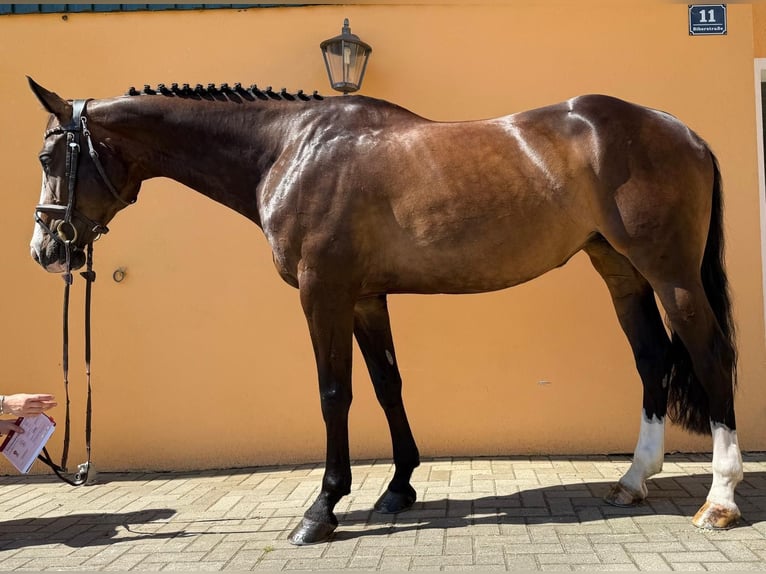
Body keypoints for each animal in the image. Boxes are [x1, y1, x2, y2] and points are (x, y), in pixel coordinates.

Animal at [26, 77, 743, 544]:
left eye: (48, 154)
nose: (46, 250)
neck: (289, 149)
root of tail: (684, 131)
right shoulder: (367, 296)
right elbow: (387, 384)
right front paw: (399, 487)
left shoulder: (323, 291)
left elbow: (334, 392)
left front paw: (322, 509)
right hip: (620, 270)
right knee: (652, 359)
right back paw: (634, 479)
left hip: (671, 273)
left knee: (710, 356)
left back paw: (719, 500)